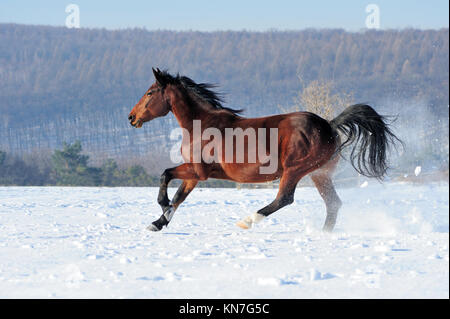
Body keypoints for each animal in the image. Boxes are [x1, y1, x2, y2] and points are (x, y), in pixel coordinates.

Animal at [127, 68, 400, 232]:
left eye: (150, 92)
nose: (131, 117)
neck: (203, 125)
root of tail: (329, 125)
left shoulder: (197, 171)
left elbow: (165, 176)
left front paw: (162, 207)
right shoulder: (194, 176)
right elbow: (179, 197)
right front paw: (158, 222)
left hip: (295, 169)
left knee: (285, 198)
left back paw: (248, 221)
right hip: (318, 174)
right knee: (333, 204)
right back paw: (324, 234)